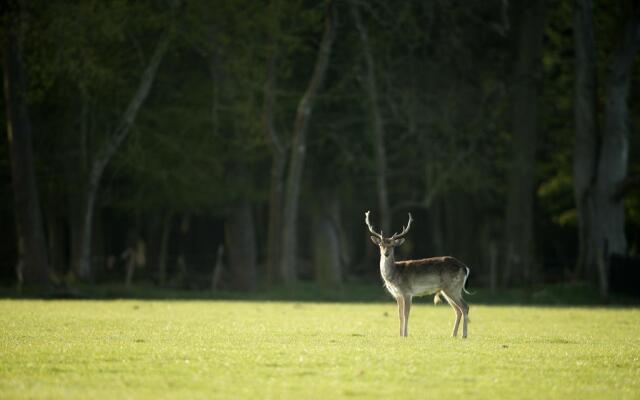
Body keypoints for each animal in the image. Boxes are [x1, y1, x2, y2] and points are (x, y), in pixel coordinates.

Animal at [364, 211, 470, 340]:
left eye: (393, 246)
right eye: (380, 244)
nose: (386, 253)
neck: (393, 276)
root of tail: (464, 267)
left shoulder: (407, 292)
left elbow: (406, 314)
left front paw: (405, 335)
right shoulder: (397, 294)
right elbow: (399, 315)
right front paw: (400, 335)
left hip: (452, 287)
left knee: (465, 307)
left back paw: (464, 335)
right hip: (448, 290)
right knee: (457, 310)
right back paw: (453, 335)